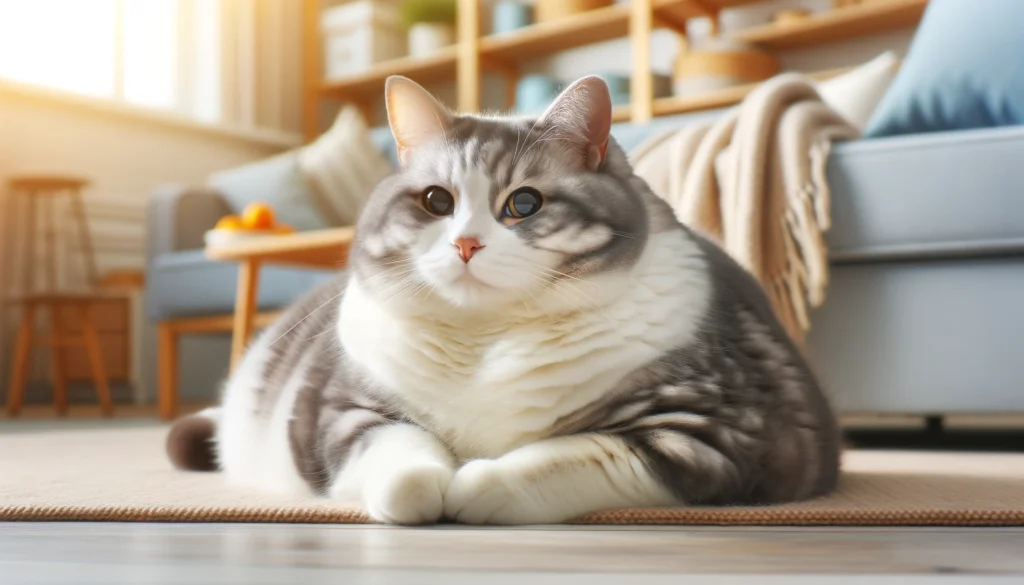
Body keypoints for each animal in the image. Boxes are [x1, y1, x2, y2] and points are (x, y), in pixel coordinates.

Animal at [167, 73, 839, 524]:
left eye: (524, 204)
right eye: (436, 201)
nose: (466, 243)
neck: (486, 339)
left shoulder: (707, 431)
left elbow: (566, 455)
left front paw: (473, 487)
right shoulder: (342, 412)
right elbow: (402, 462)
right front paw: (430, 489)